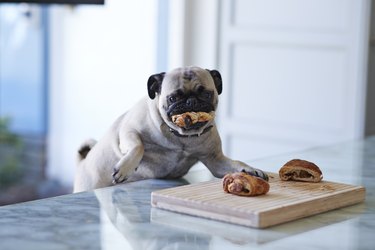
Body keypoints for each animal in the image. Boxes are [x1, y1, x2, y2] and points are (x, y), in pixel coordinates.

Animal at [72, 65, 268, 192]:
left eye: (206, 94)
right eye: (173, 98)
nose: (191, 101)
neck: (181, 138)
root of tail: (82, 163)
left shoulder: (215, 160)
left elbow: (234, 164)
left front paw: (249, 170)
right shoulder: (128, 130)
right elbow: (138, 146)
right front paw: (125, 168)